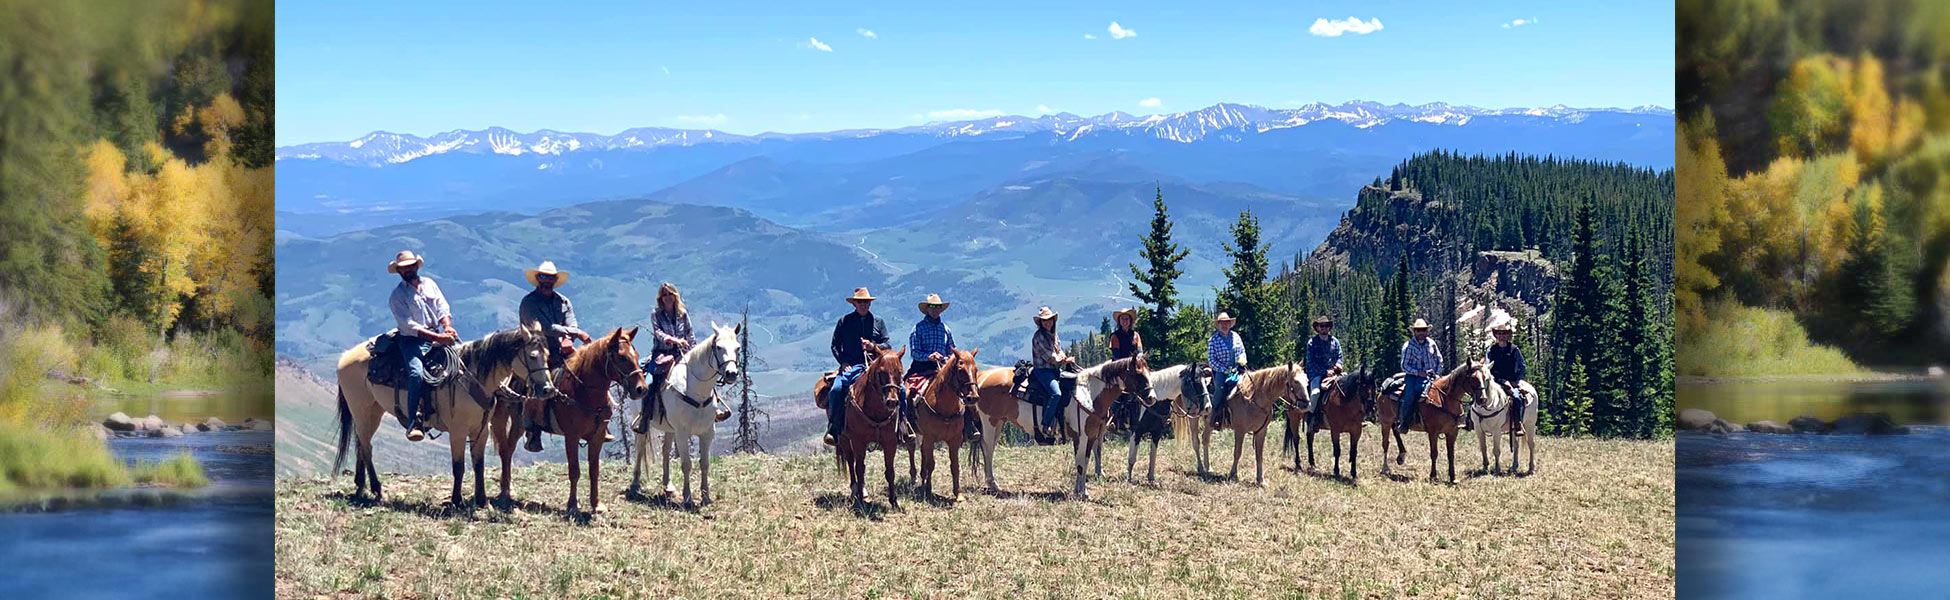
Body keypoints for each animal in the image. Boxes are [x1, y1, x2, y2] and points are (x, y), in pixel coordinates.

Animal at [335, 321, 557, 510]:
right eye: (533, 355)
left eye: (548, 354)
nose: (547, 389)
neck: (474, 377)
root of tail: (345, 356)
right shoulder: (457, 431)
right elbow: (458, 466)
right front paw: (457, 500)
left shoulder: (481, 430)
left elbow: (479, 465)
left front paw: (482, 500)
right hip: (362, 410)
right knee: (367, 447)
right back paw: (377, 489)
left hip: (373, 410)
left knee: (361, 444)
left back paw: (360, 486)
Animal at [627, 321, 741, 510]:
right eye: (718, 347)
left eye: (738, 348)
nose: (731, 373)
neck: (696, 390)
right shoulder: (682, 432)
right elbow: (686, 464)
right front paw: (688, 498)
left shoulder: (707, 433)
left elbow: (704, 464)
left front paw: (706, 497)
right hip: (643, 421)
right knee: (640, 448)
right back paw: (635, 484)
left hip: (669, 428)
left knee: (665, 451)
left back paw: (668, 486)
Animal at [811, 338, 908, 510]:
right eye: (881, 372)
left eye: (900, 372)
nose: (892, 401)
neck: (875, 410)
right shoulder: (858, 441)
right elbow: (860, 468)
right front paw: (862, 501)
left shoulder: (890, 442)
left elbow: (890, 471)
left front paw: (894, 501)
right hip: (844, 439)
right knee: (851, 463)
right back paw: (856, 490)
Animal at [908, 346, 982, 502]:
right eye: (960, 370)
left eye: (976, 369)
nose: (973, 397)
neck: (945, 408)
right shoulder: (930, 438)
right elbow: (931, 464)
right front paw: (929, 490)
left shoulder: (954, 440)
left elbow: (955, 466)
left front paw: (958, 494)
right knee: (911, 448)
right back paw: (914, 477)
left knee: (922, 450)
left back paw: (922, 478)